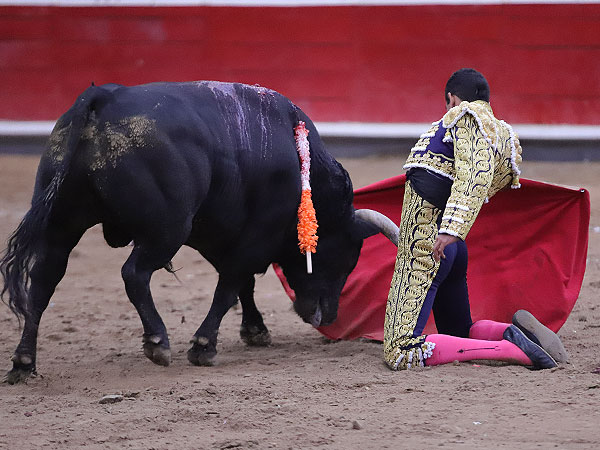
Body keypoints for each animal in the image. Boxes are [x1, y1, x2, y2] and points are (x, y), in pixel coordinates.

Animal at [0, 81, 398, 384]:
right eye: (343, 258)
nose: (328, 317)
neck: (303, 168)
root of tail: (104, 97)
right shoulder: (255, 235)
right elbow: (229, 286)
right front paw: (204, 346)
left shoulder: (222, 233)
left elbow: (241, 285)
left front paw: (255, 331)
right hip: (166, 230)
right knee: (134, 273)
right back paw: (158, 342)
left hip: (62, 224)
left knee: (43, 282)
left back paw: (24, 363)